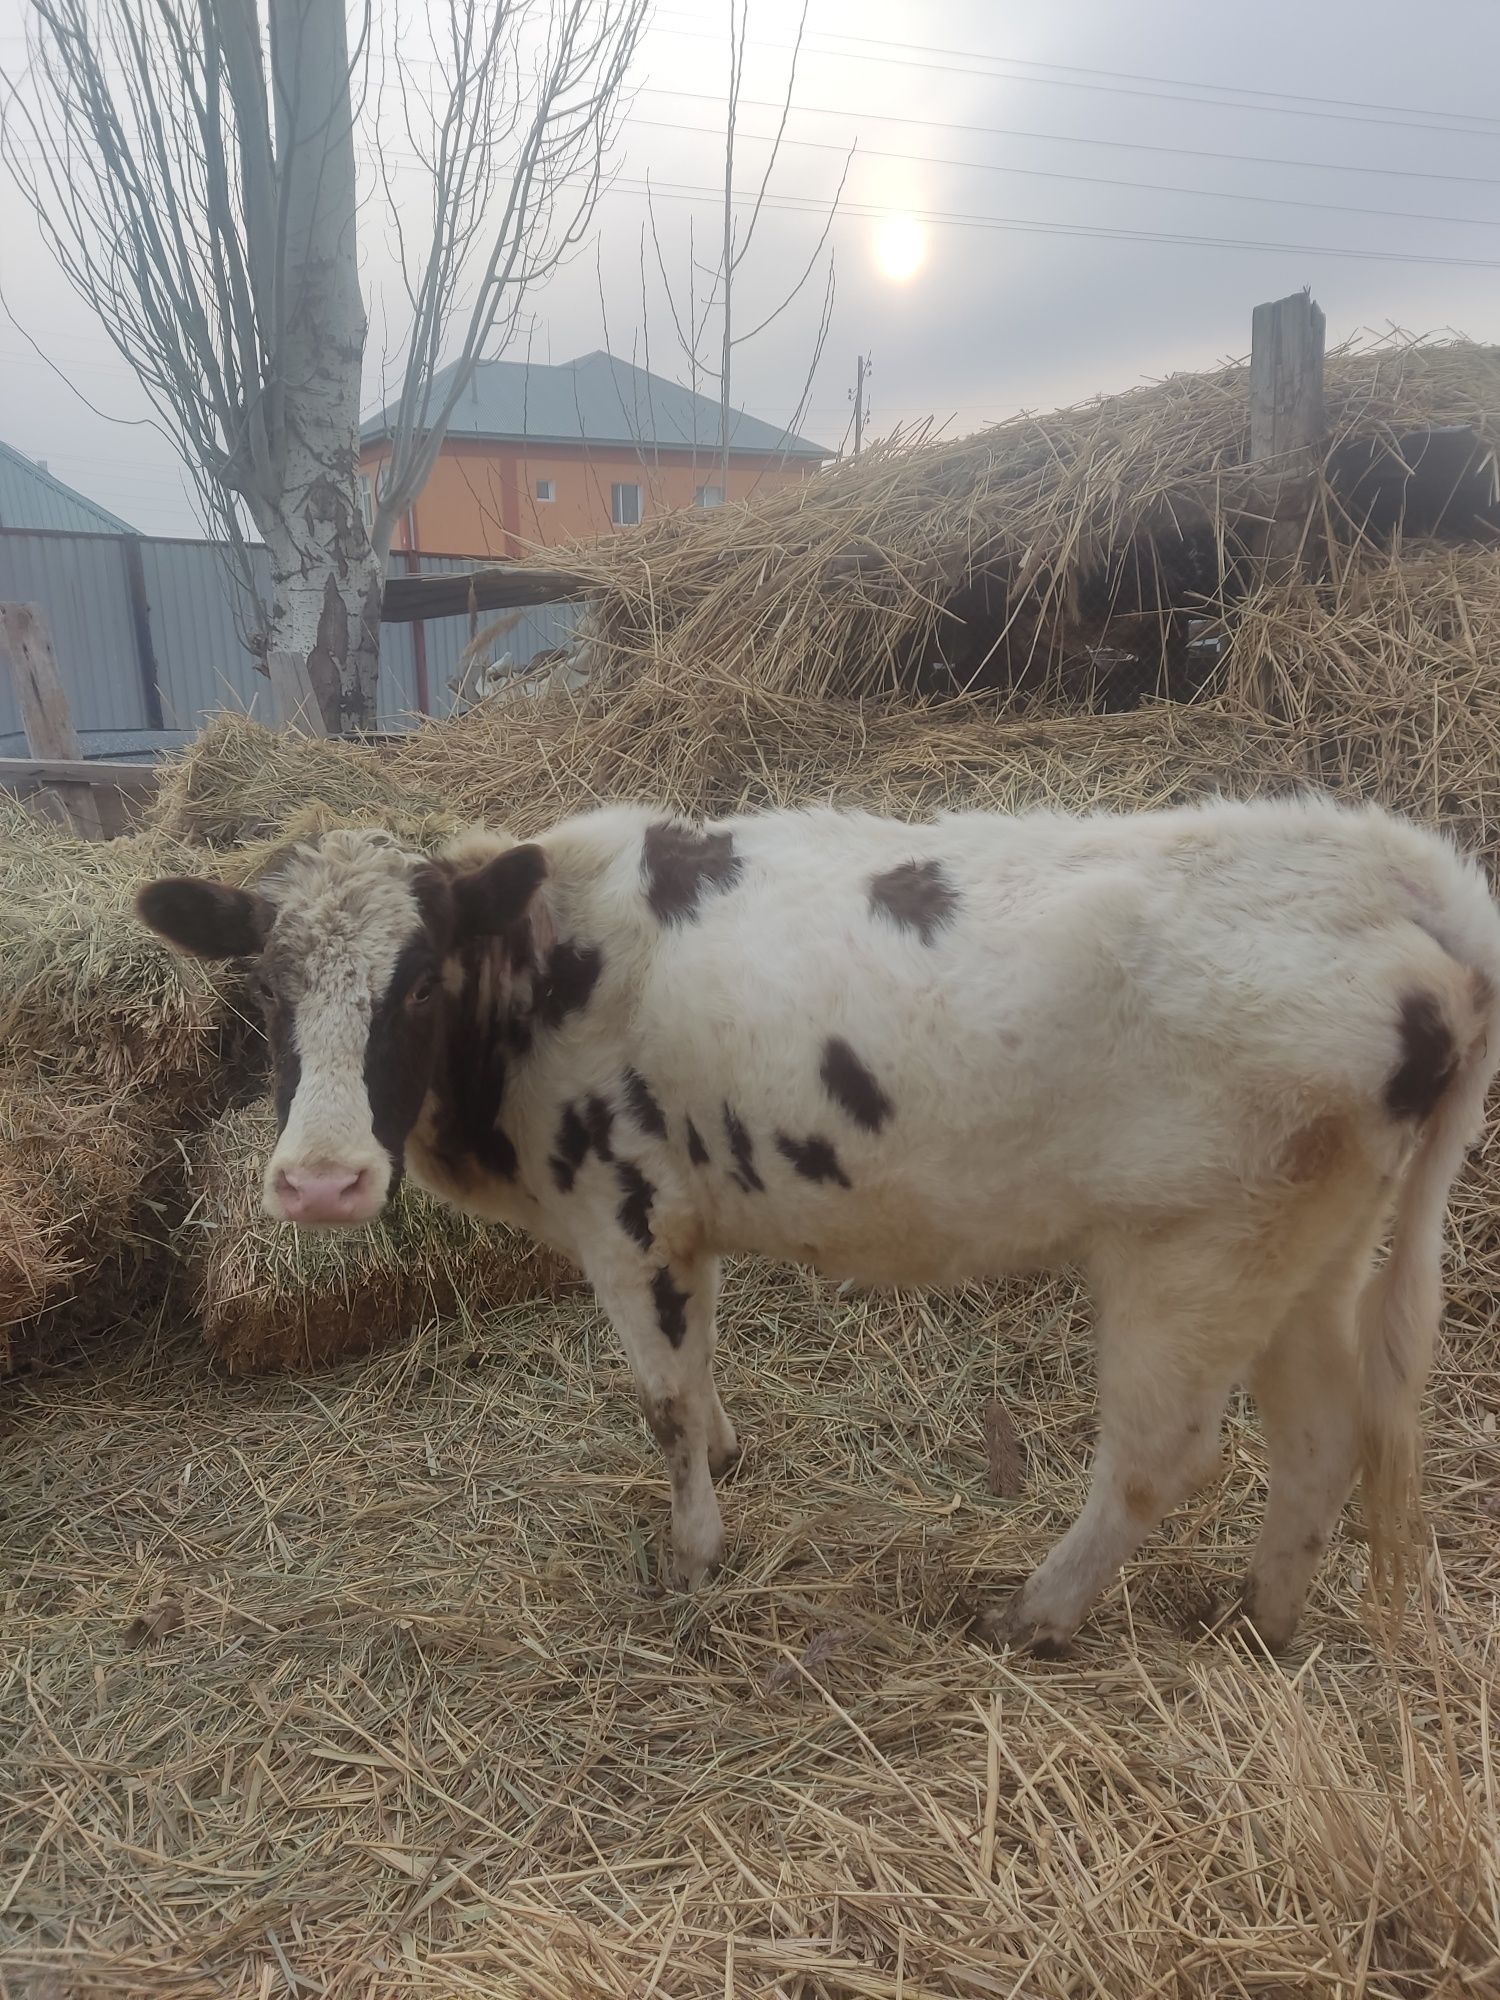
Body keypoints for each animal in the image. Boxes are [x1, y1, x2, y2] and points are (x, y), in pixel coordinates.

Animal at [138, 796, 1500, 1656]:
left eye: (417, 980)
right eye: (267, 985)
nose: (319, 1181)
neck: (549, 966)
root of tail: (1386, 862)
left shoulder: (628, 1217)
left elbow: (662, 1399)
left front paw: (693, 1553)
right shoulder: (685, 1221)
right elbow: (703, 1366)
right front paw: (731, 1454)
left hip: (1196, 1255)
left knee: (1161, 1456)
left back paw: (1037, 1612)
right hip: (1309, 1252)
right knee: (1321, 1432)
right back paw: (1259, 1618)